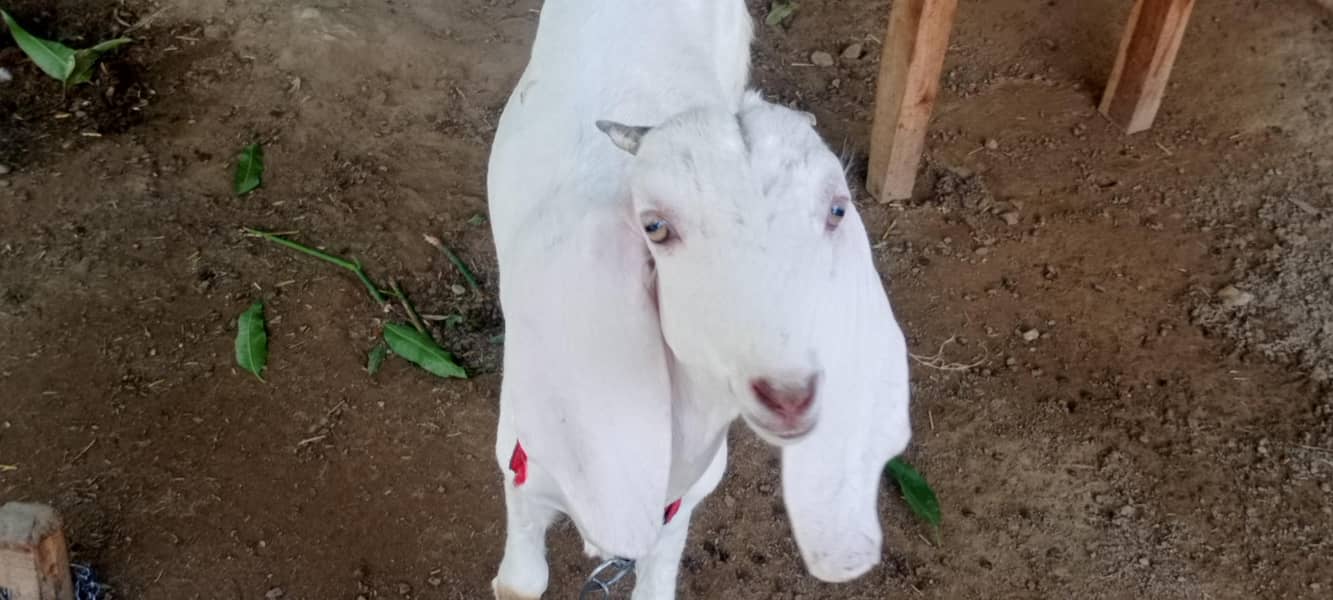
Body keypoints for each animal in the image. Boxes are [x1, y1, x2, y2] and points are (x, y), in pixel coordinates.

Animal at [486, 2, 911, 598]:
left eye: (837, 211)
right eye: (655, 227)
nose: (789, 395)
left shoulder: (680, 512)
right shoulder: (521, 472)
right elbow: (521, 581)